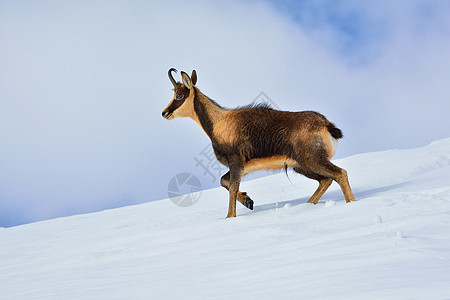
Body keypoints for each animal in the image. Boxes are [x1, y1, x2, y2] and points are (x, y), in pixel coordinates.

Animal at [162, 68, 356, 218]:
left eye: (179, 95)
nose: (165, 113)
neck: (218, 122)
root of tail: (327, 125)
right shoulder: (243, 167)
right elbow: (224, 181)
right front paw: (248, 201)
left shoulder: (236, 162)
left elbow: (231, 187)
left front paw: (230, 217)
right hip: (300, 166)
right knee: (326, 180)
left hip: (312, 160)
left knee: (340, 174)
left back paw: (351, 203)